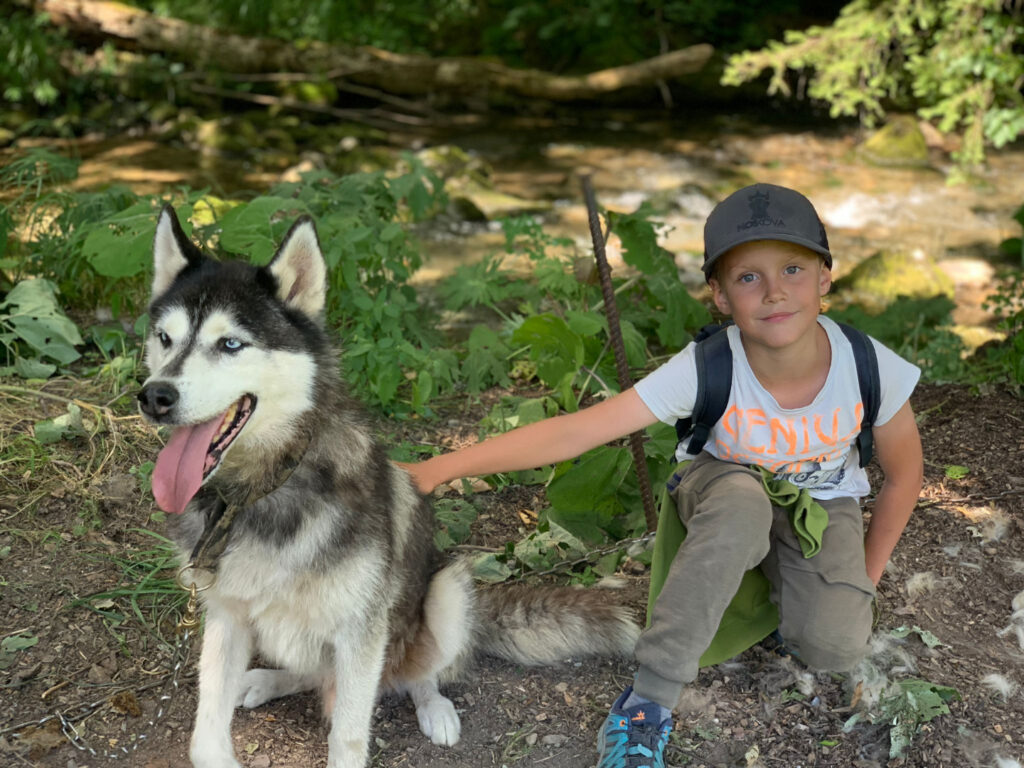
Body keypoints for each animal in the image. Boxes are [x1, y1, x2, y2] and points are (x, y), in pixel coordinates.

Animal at [138, 204, 638, 768]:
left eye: (230, 344)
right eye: (164, 339)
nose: (154, 396)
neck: (268, 487)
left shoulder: (361, 632)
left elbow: (348, 736)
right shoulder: (227, 615)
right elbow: (205, 738)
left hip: (445, 593)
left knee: (416, 675)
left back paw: (434, 707)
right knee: (314, 674)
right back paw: (264, 680)